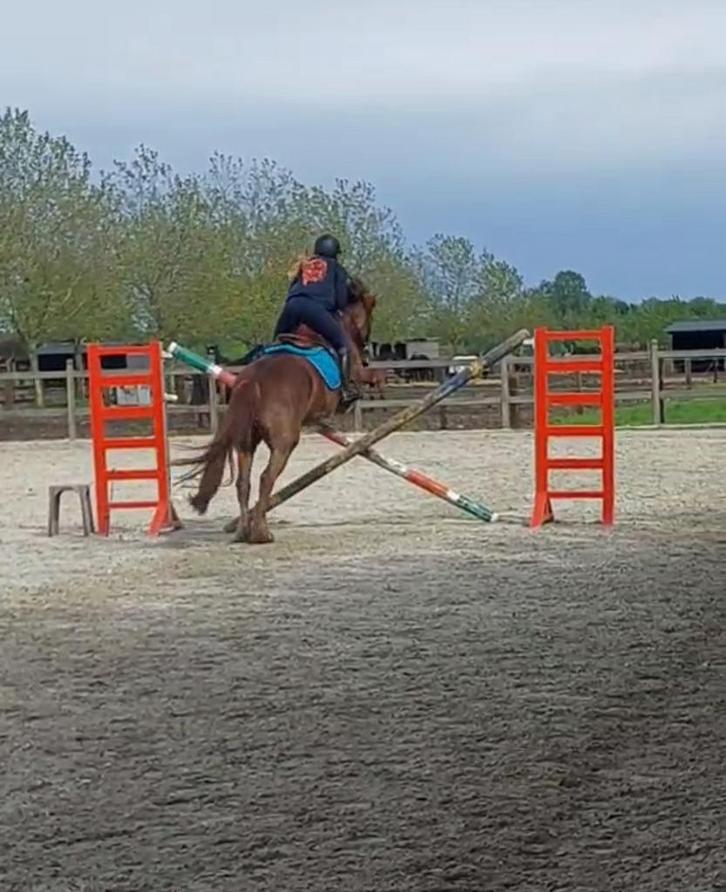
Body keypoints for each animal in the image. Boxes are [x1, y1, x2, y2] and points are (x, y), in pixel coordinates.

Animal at [178, 280, 377, 544]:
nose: (366, 354)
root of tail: (253, 380)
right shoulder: (356, 374)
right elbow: (371, 379)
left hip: (246, 441)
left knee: (244, 482)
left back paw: (243, 531)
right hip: (284, 442)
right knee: (266, 478)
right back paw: (261, 533)